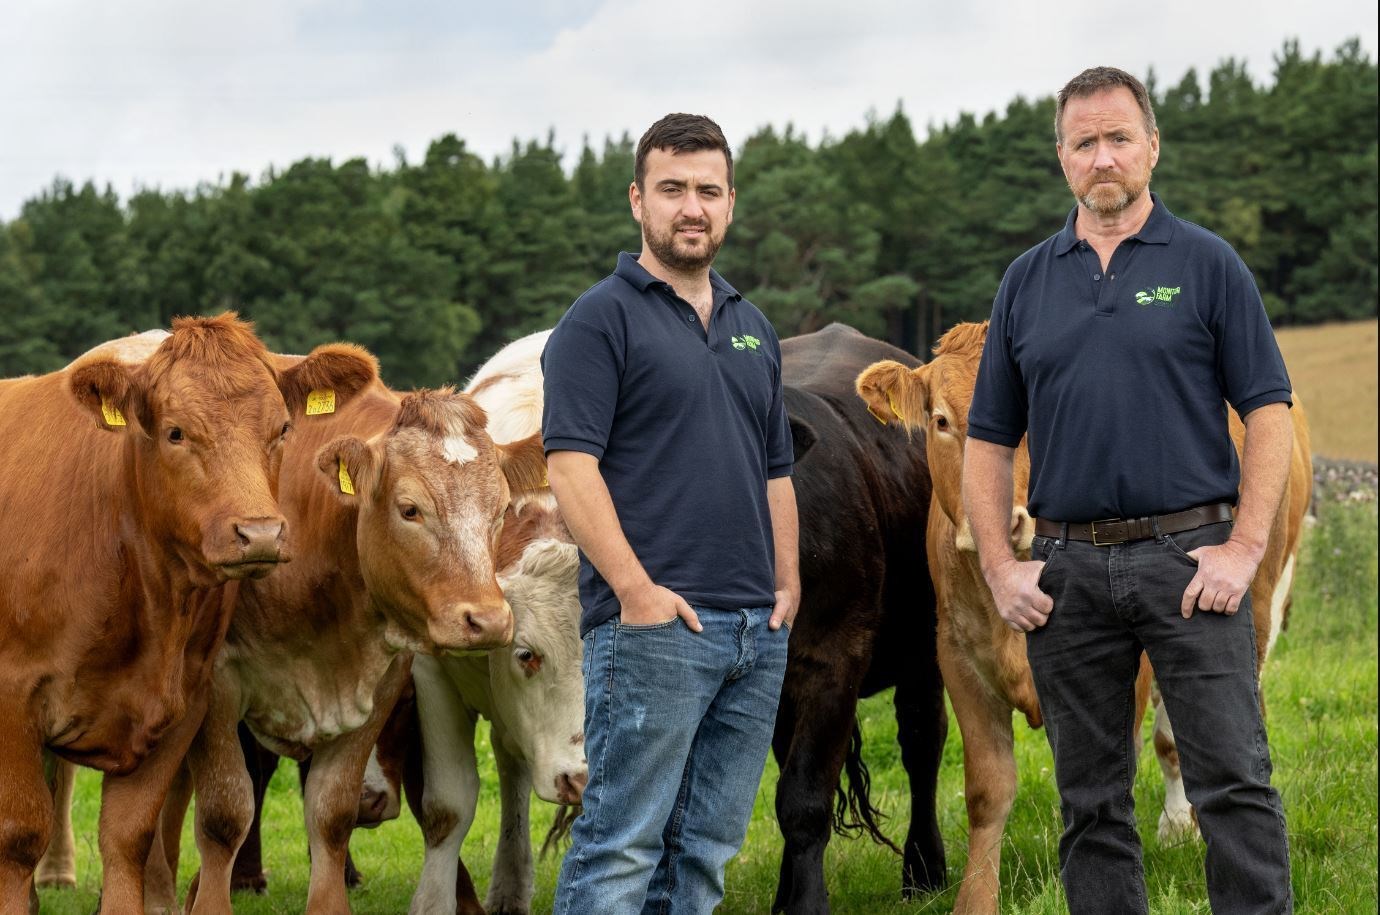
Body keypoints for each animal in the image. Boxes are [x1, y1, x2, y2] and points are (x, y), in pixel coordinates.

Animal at [0, 311, 378, 910]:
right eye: (176, 432)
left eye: (282, 430)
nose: (260, 533)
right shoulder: (12, 697)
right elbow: (19, 837)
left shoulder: (181, 702)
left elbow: (128, 837)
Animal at [778, 320, 949, 910]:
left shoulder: (835, 657)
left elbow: (804, 797)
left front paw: (805, 905)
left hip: (926, 647)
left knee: (922, 744)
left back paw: (925, 872)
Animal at [855, 318, 1308, 910]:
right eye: (941, 421)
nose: (1003, 519)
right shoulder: (957, 658)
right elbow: (988, 791)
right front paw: (976, 900)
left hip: (1257, 599)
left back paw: (1181, 823)